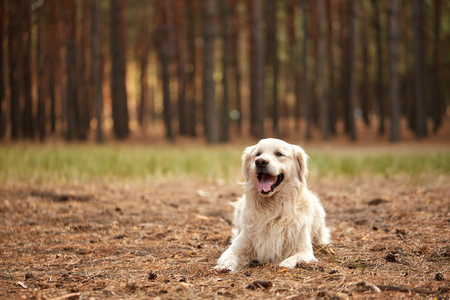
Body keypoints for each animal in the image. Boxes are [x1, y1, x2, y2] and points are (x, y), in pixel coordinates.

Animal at [216, 138, 328, 272]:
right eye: (257, 154)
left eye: (279, 154)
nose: (260, 162)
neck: (272, 207)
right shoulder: (239, 244)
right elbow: (228, 257)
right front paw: (224, 267)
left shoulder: (304, 251)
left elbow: (291, 260)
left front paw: (284, 265)